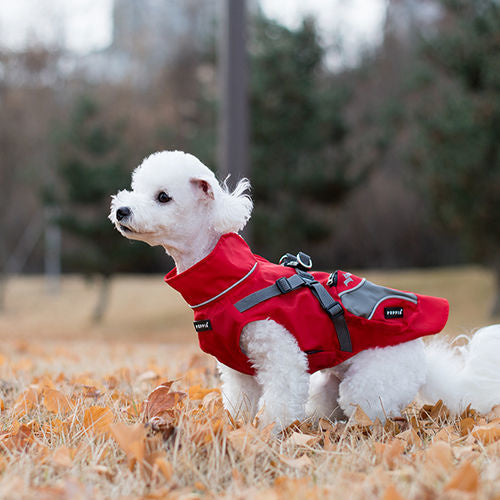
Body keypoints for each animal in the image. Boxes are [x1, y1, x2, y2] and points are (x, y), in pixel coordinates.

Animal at [110, 149, 500, 430]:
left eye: (163, 197)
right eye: (136, 188)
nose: (121, 210)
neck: (227, 279)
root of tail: (423, 359)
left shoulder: (281, 356)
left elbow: (281, 399)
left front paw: (268, 435)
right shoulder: (238, 370)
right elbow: (239, 402)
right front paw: (236, 430)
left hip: (368, 384)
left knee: (369, 414)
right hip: (329, 385)